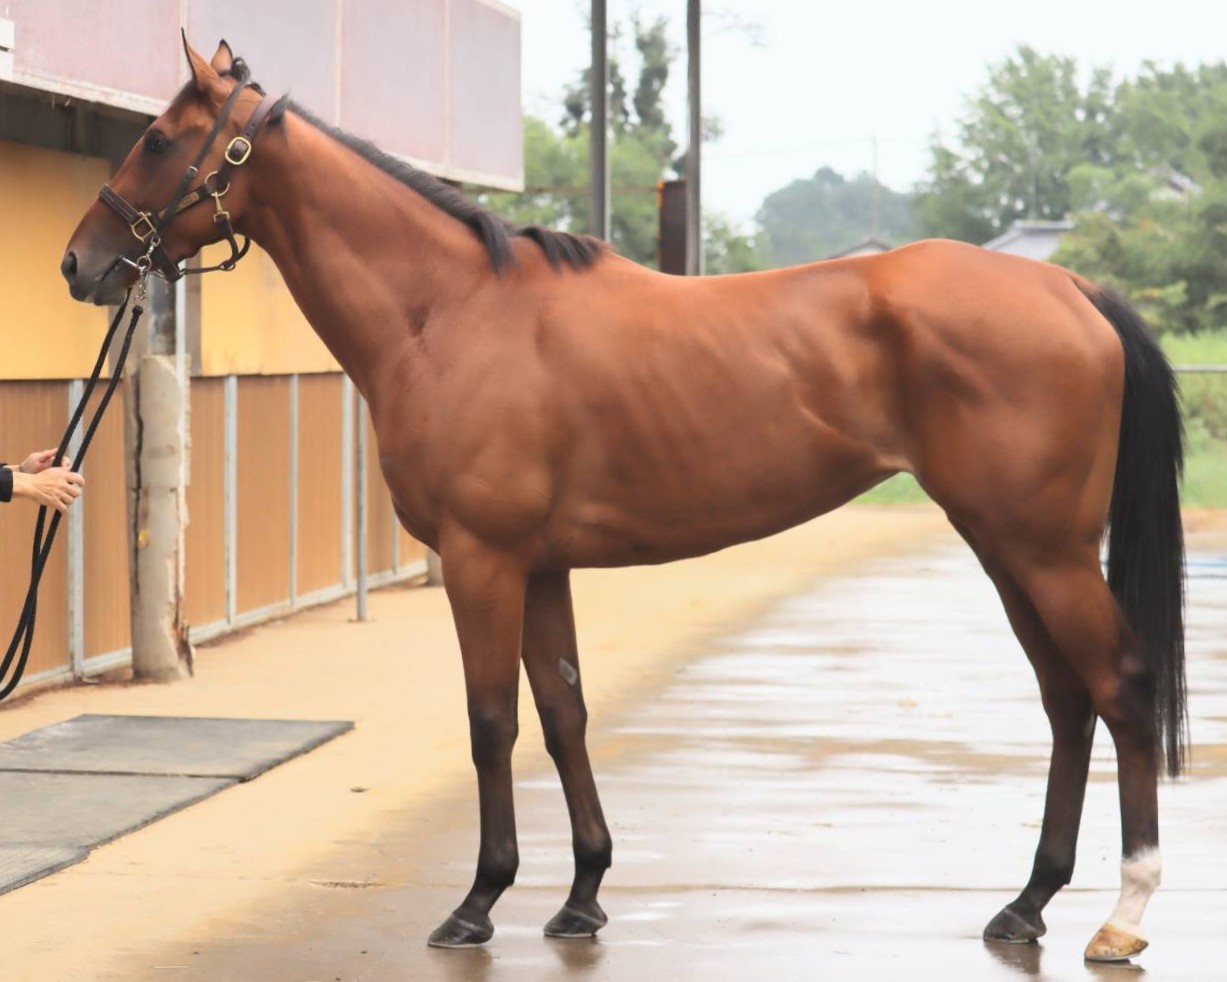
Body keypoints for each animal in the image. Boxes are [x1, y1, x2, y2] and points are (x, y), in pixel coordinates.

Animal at [60, 40, 1186, 964]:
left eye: (157, 140)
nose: (81, 263)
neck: (449, 311)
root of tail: (1072, 288)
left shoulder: (482, 560)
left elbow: (491, 721)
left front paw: (479, 902)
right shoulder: (540, 565)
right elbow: (564, 713)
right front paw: (583, 894)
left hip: (1041, 551)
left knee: (1120, 686)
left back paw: (1122, 916)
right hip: (1004, 547)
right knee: (1067, 699)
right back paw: (1026, 903)